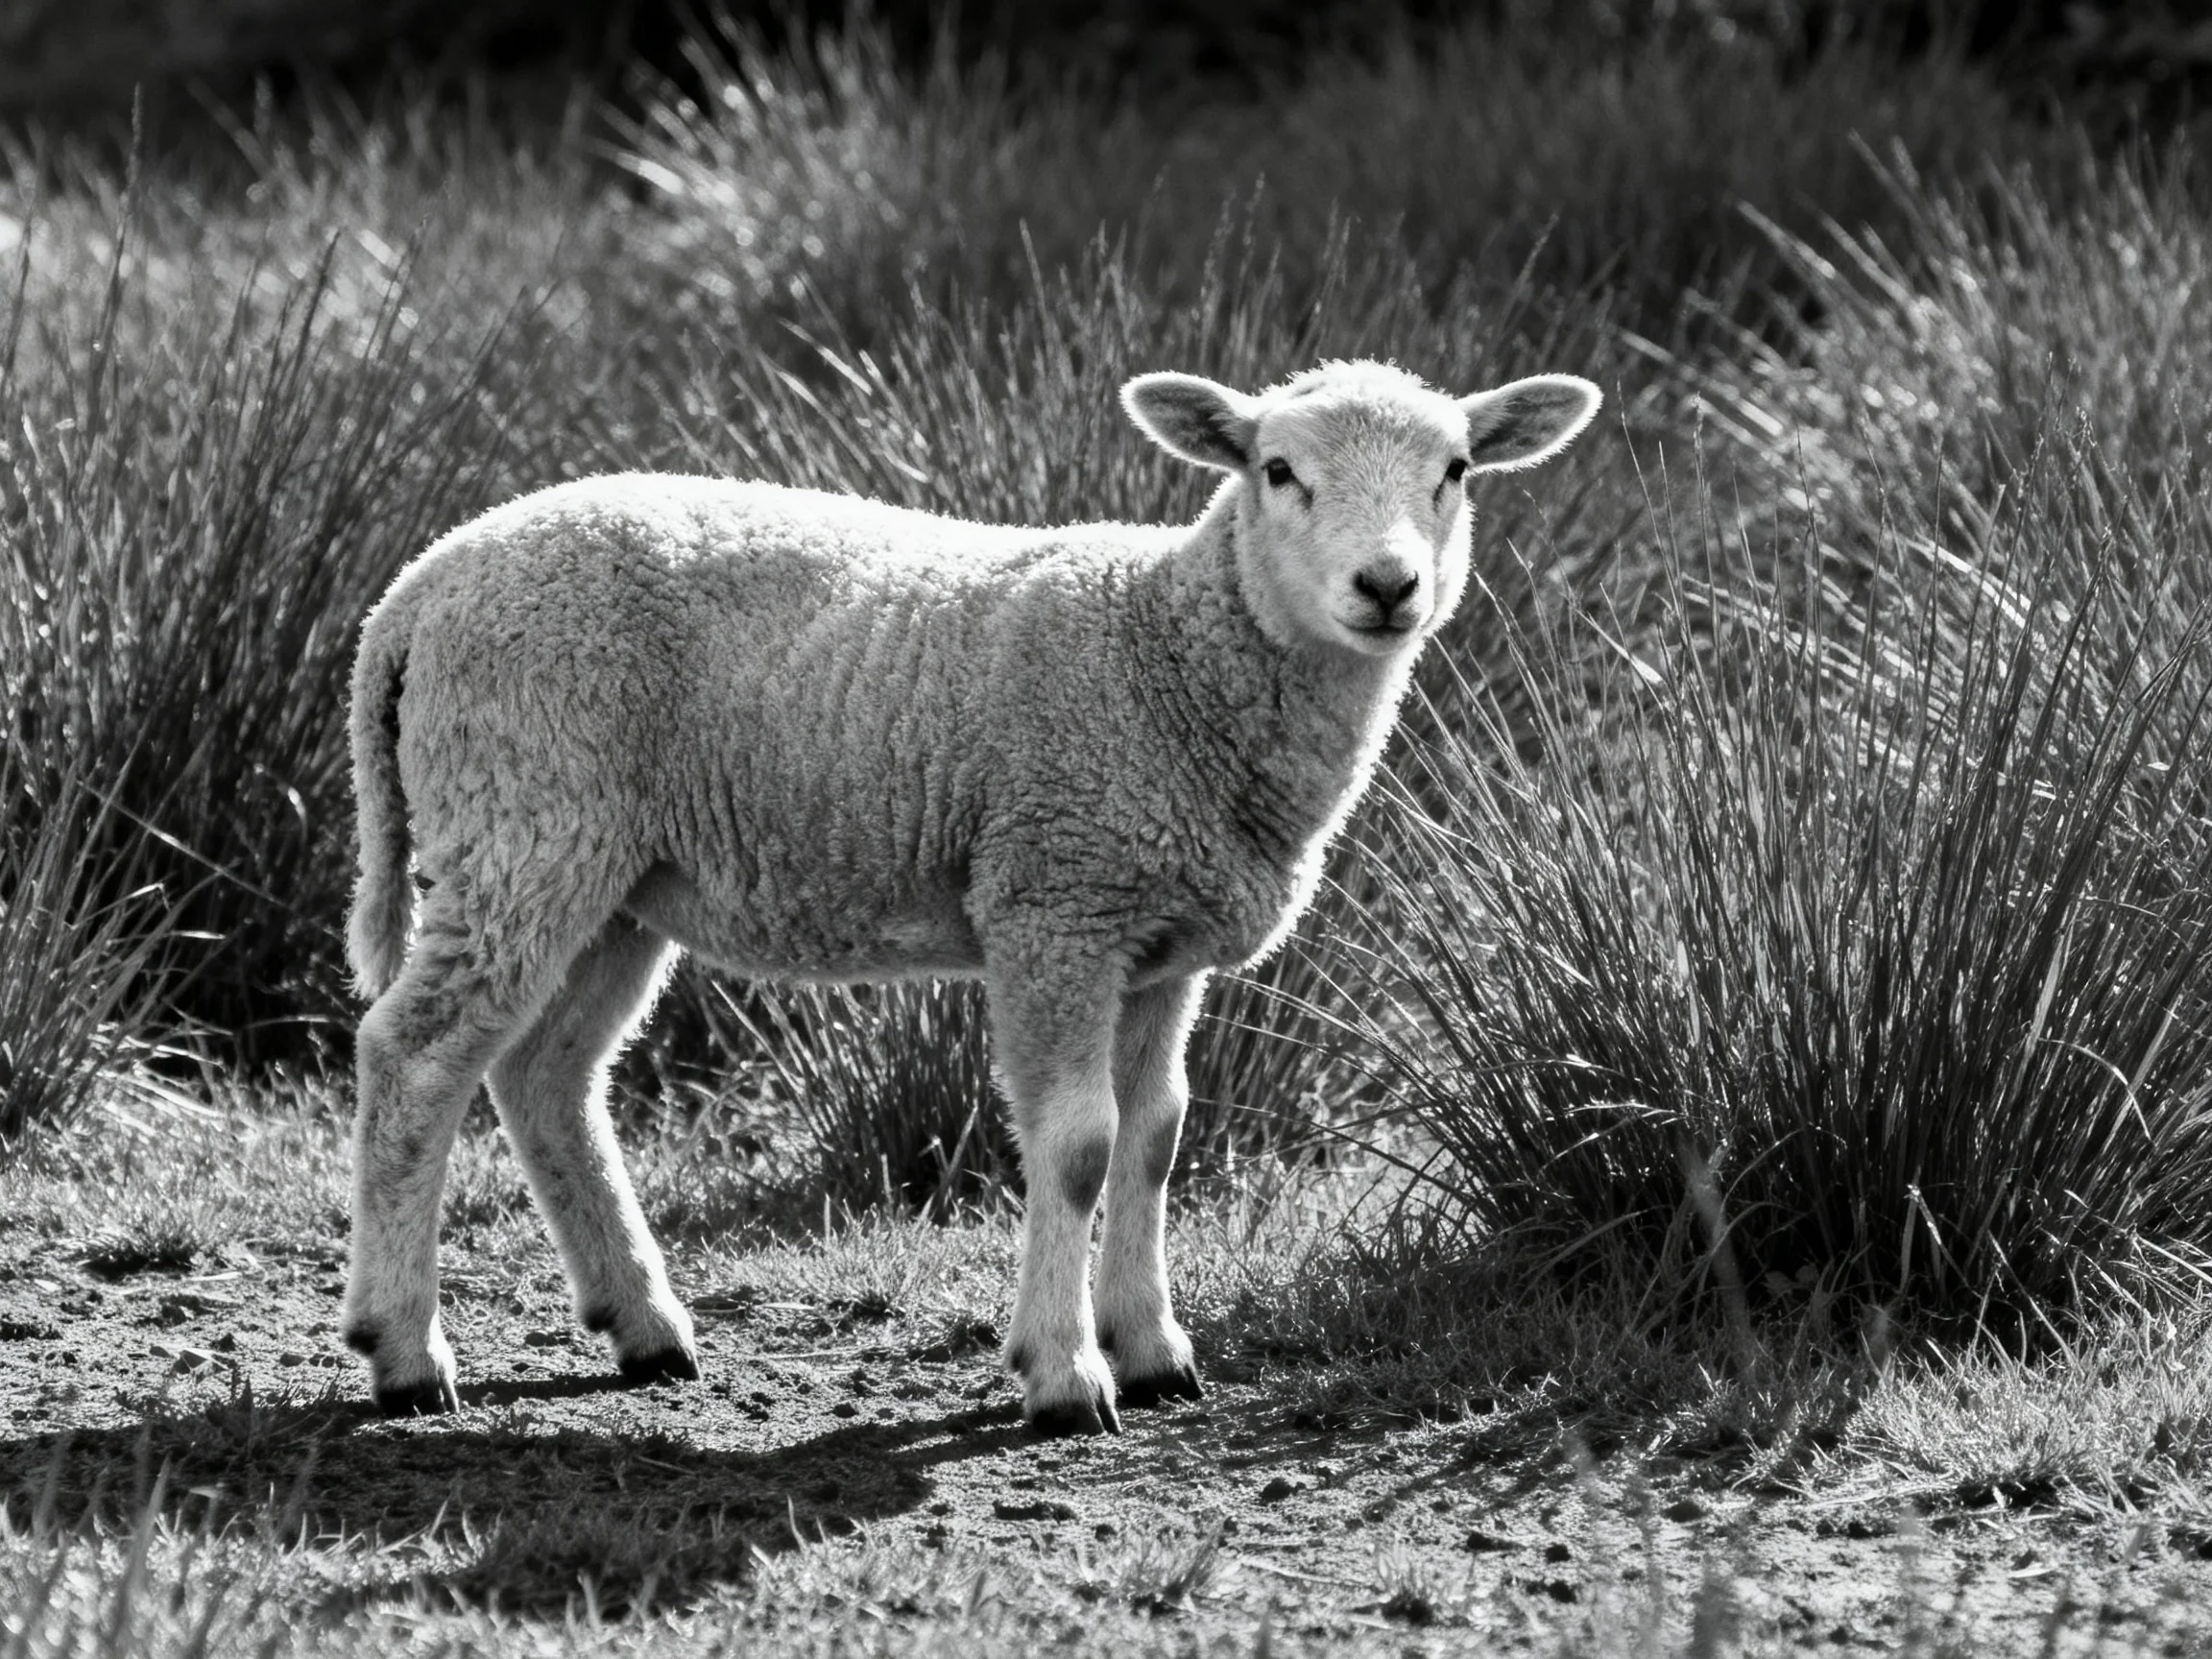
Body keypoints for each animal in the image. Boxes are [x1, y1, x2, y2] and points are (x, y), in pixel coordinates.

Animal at [340, 357, 1601, 1435]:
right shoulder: (1055, 905)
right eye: (1278, 470)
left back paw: (645, 1326)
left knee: (545, 1077)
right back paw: (404, 1350)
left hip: (615, 877)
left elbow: (1156, 1137)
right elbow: (1080, 1145)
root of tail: (413, 591)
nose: (1389, 586)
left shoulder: (1159, 944)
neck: (1170, 652)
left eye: (1457, 470)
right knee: (415, 1057)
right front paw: (1065, 1373)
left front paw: (1154, 1350)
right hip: (526, 815)